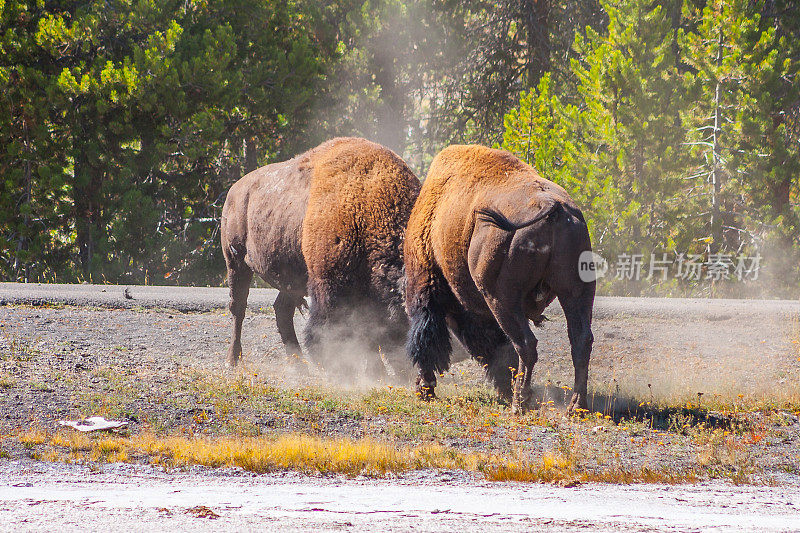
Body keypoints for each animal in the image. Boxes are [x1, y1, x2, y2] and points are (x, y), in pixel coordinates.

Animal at [219, 138, 418, 370]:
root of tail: (235, 190)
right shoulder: (328, 285)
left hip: (292, 277)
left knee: (282, 310)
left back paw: (299, 366)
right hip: (236, 262)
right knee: (238, 307)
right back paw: (232, 359)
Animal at [406, 143, 592, 414]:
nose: (422, 390)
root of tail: (554, 206)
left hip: (501, 297)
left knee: (526, 344)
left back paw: (519, 402)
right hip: (576, 291)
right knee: (580, 341)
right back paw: (575, 407)